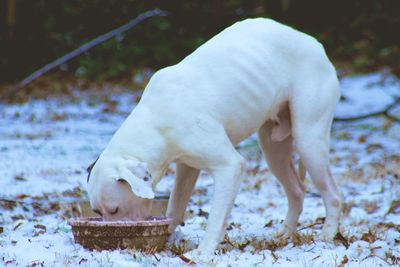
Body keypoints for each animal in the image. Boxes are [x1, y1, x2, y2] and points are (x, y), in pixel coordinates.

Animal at [86, 17, 340, 258]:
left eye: (115, 210)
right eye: (97, 212)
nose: (115, 245)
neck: (155, 121)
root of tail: (314, 43)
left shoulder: (229, 167)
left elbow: (216, 217)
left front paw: (204, 252)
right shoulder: (187, 169)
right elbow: (175, 208)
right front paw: (170, 241)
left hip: (309, 143)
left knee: (333, 195)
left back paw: (327, 234)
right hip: (273, 151)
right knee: (297, 191)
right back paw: (285, 233)